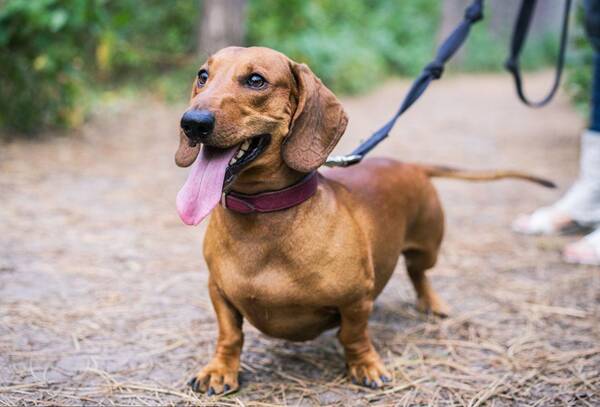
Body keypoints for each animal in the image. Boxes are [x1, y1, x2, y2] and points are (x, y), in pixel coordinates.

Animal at [175, 47, 552, 396]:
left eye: (256, 80)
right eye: (203, 76)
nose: (192, 122)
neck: (262, 215)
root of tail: (411, 165)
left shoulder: (356, 300)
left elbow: (353, 336)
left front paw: (365, 366)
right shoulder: (218, 292)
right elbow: (230, 335)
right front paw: (220, 370)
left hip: (428, 247)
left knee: (419, 273)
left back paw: (432, 303)